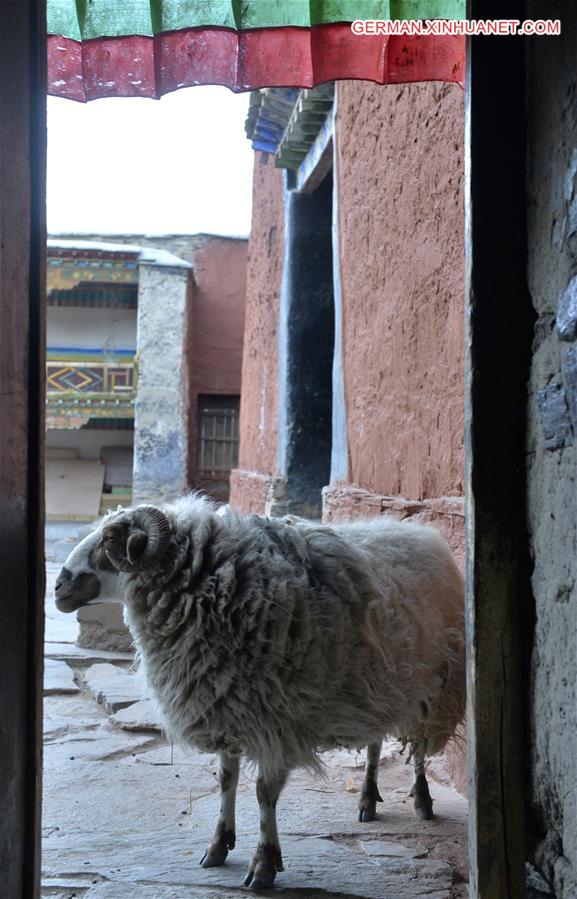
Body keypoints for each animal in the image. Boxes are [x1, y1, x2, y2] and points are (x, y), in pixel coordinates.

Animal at [56, 500, 466, 892]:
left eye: (111, 539)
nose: (59, 587)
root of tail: (420, 531)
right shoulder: (226, 704)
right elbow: (226, 780)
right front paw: (218, 845)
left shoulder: (276, 721)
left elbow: (263, 793)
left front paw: (264, 864)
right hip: (379, 686)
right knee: (376, 743)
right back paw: (367, 797)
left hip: (434, 688)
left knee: (419, 748)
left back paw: (422, 799)